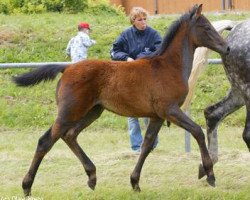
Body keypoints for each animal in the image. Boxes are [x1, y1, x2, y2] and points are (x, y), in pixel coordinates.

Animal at [13, 4, 229, 195]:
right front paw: (209, 174)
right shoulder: (170, 110)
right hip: (69, 112)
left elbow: (147, 145)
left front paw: (135, 182)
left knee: (70, 135)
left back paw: (92, 177)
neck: (168, 66)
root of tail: (67, 68)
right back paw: (27, 186)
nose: (226, 47)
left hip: (92, 111)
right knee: (45, 141)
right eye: (207, 27)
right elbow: (197, 131)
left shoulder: (157, 116)